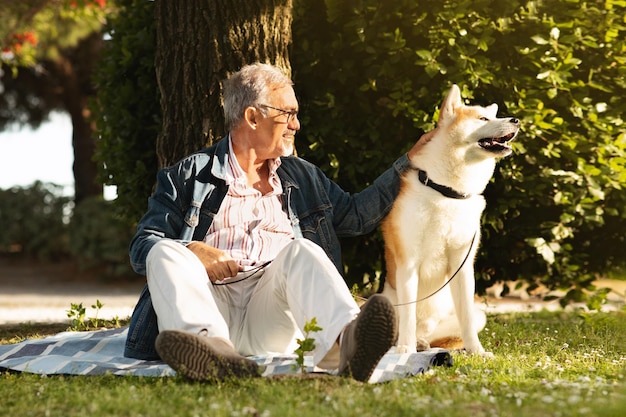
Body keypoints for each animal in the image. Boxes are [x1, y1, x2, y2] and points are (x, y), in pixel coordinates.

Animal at [380, 84, 516, 354]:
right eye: (483, 119)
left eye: (493, 116)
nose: (516, 120)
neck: (446, 193)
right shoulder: (408, 261)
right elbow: (408, 317)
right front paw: (404, 350)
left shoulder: (462, 265)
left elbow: (466, 320)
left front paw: (477, 351)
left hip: (474, 315)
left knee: (439, 336)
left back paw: (428, 344)